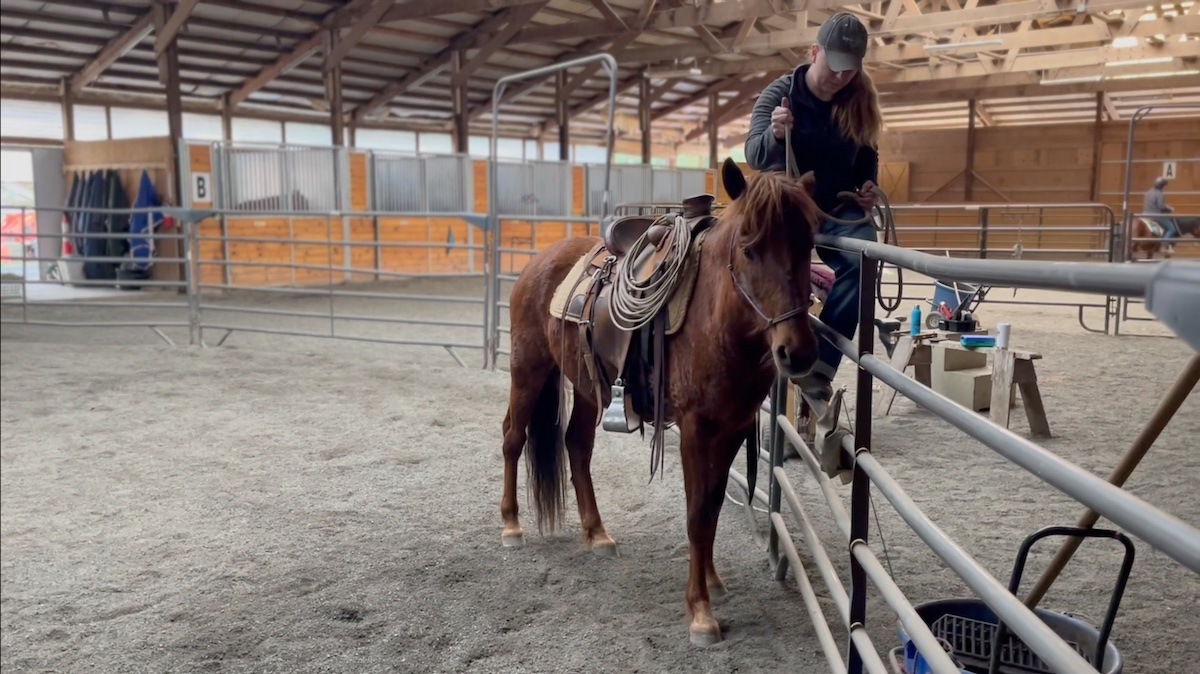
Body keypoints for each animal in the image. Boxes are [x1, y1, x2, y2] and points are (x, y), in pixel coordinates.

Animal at [496, 158, 825, 647]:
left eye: (809, 245)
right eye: (749, 249)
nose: (797, 352)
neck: (717, 320)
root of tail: (540, 261)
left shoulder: (733, 427)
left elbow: (711, 507)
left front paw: (712, 581)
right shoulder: (695, 429)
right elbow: (696, 515)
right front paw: (700, 611)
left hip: (590, 387)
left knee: (576, 445)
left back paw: (596, 533)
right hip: (528, 369)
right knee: (513, 438)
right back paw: (511, 525)